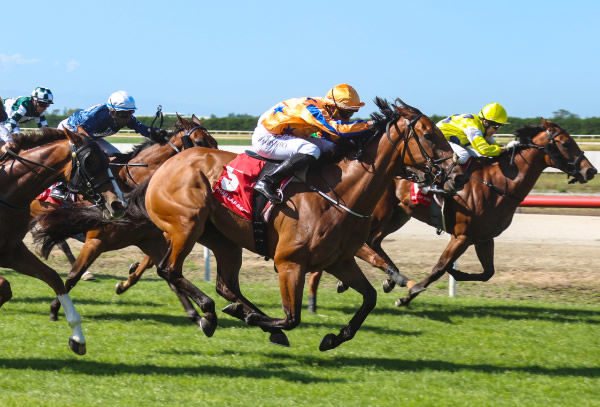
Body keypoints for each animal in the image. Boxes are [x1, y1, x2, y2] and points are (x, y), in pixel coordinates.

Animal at [0, 126, 127, 354]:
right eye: (89, 161)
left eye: (107, 159)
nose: (118, 204)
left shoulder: (11, 251)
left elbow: (53, 278)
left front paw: (78, 338)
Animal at [31, 115, 217, 322]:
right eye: (200, 142)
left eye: (215, 142)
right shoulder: (96, 241)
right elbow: (72, 276)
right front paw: (56, 308)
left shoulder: (149, 239)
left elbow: (168, 275)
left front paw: (195, 314)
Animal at [142, 96, 468, 350]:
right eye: (429, 135)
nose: (459, 176)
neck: (340, 192)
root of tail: (167, 165)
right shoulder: (290, 263)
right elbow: (292, 317)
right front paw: (256, 318)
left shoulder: (340, 260)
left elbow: (370, 298)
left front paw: (334, 338)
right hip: (186, 225)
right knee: (169, 270)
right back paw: (209, 315)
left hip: (224, 240)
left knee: (225, 285)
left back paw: (240, 316)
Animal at [308, 118, 596, 310]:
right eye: (564, 143)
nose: (590, 170)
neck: (499, 183)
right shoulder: (462, 235)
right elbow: (439, 267)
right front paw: (408, 295)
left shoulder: (483, 237)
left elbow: (488, 272)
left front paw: (456, 276)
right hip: (381, 212)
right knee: (364, 244)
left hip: (399, 214)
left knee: (374, 242)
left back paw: (381, 278)